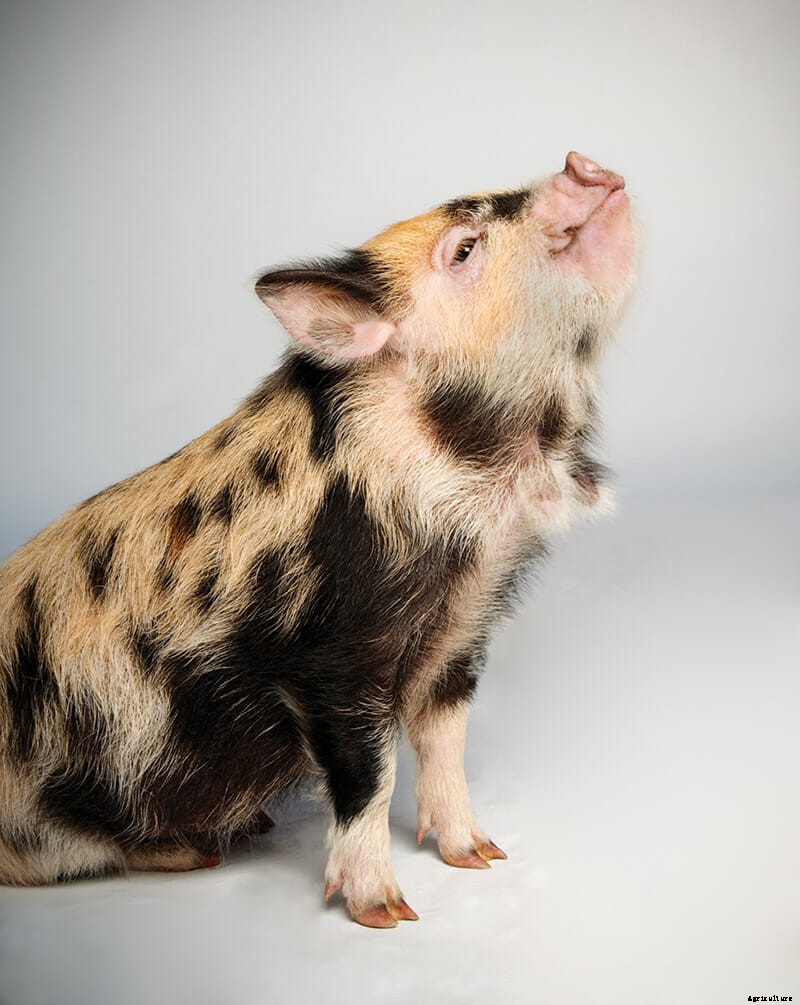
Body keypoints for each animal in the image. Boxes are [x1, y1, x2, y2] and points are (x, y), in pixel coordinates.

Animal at [0, 152, 636, 927]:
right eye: (463, 249)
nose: (583, 162)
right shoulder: (327, 653)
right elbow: (370, 774)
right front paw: (386, 913)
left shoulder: (463, 624)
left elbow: (444, 741)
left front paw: (481, 856)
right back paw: (199, 852)